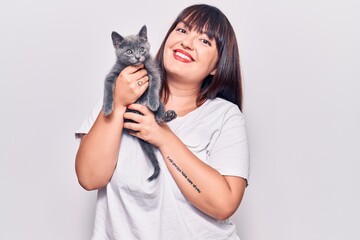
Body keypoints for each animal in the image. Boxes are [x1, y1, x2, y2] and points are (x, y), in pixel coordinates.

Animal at [102, 25, 176, 181]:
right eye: (129, 51)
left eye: (142, 49)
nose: (137, 57)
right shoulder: (112, 74)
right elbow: (107, 89)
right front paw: (107, 108)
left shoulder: (153, 70)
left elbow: (154, 85)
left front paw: (152, 102)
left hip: (160, 105)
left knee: (159, 118)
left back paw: (166, 115)